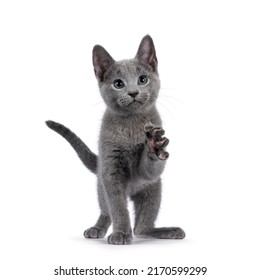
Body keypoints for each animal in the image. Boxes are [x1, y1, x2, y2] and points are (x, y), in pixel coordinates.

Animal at [46, 35, 185, 245]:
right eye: (118, 84)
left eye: (142, 79)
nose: (133, 92)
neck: (132, 126)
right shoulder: (111, 170)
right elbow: (118, 207)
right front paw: (120, 233)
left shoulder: (148, 175)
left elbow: (149, 170)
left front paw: (153, 145)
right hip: (100, 186)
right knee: (107, 211)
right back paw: (97, 229)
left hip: (154, 190)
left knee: (142, 228)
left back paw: (167, 231)